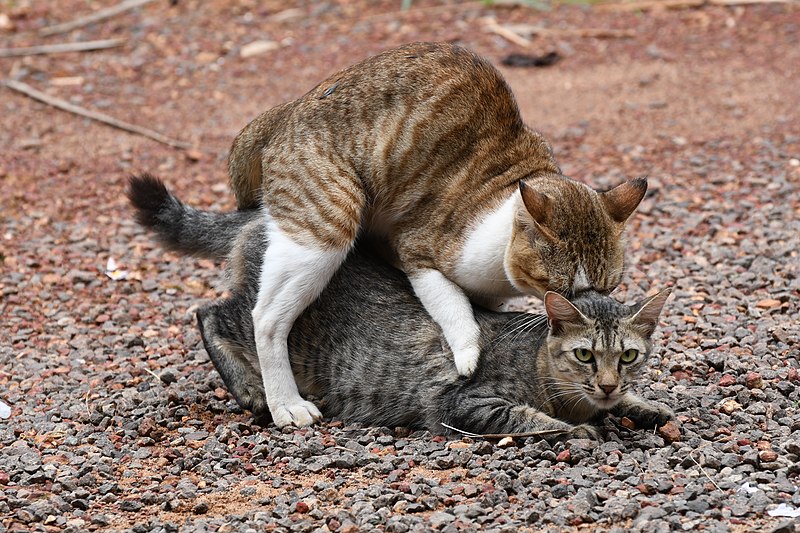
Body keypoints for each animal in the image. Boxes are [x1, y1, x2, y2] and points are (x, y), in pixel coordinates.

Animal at [128, 177, 672, 438]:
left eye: (628, 356)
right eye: (585, 355)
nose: (606, 382)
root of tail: (261, 216)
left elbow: (629, 404)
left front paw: (643, 405)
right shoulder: (463, 404)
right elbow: (534, 419)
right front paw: (579, 429)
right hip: (274, 312)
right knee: (213, 313)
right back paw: (258, 391)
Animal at [223, 41, 644, 428]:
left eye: (606, 288)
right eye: (562, 288)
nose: (587, 306)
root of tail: (289, 109)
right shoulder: (418, 253)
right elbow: (452, 305)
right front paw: (467, 352)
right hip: (328, 224)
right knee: (266, 319)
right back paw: (285, 403)